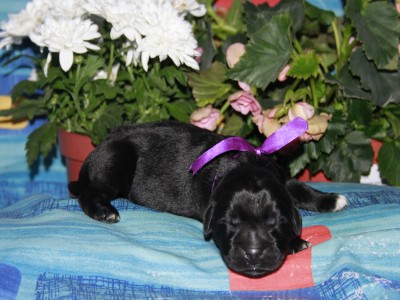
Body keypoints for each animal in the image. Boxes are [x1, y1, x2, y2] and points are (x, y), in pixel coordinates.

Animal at [69, 120, 346, 278]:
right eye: (231, 223)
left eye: (274, 223)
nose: (253, 254)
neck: (244, 164)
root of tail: (101, 145)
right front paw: (296, 242)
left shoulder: (281, 177)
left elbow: (298, 187)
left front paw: (331, 199)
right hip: (119, 160)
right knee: (87, 192)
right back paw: (104, 211)